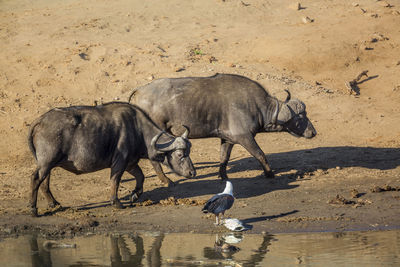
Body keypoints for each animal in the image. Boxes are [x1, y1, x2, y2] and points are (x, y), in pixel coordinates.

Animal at [27, 101, 195, 217]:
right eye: (180, 154)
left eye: (189, 151)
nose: (192, 173)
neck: (137, 129)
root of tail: (41, 120)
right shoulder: (119, 162)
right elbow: (115, 180)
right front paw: (116, 202)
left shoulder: (131, 163)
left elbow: (141, 177)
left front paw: (135, 195)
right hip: (47, 162)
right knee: (36, 178)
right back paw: (33, 209)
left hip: (47, 164)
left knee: (45, 182)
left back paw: (54, 204)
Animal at [130, 74, 318, 185]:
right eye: (300, 116)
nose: (313, 132)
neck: (256, 106)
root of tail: (139, 90)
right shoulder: (245, 137)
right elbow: (260, 154)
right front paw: (270, 173)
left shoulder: (227, 139)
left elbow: (224, 158)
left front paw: (223, 176)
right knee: (155, 159)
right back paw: (166, 180)